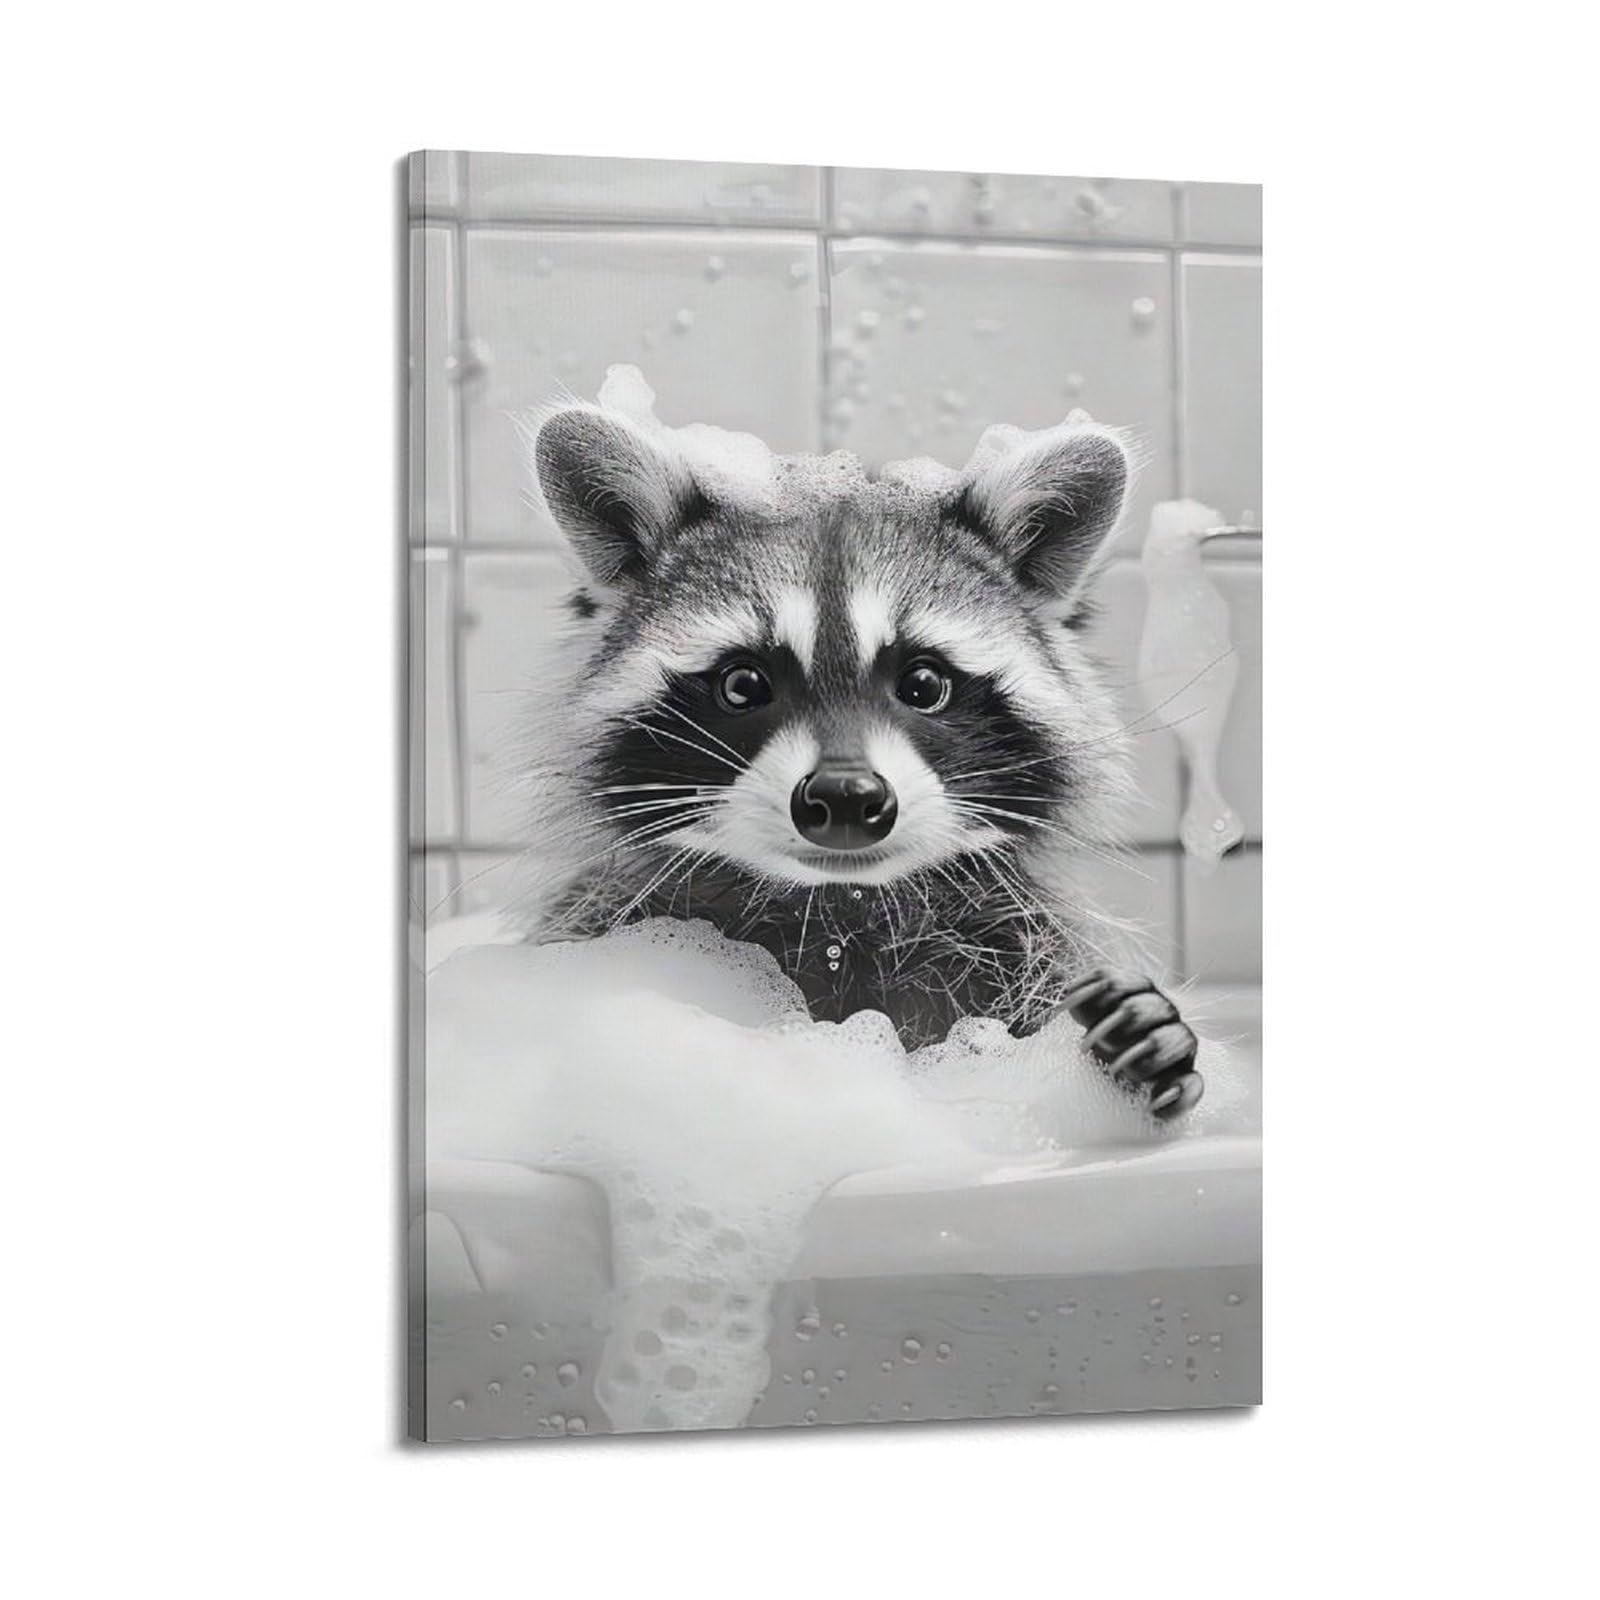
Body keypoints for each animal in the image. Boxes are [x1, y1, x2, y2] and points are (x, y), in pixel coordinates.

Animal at [518, 399, 1203, 1120]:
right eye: (743, 684)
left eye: (924, 683)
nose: (845, 797)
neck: (837, 908)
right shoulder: (602, 926)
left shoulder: (1024, 947)